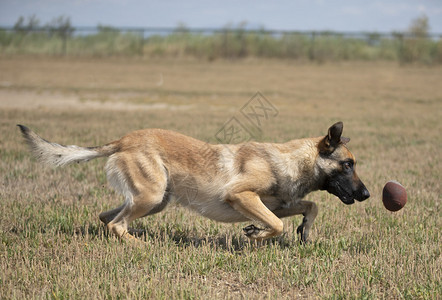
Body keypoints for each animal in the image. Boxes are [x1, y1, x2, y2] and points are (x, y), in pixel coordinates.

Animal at [17, 122, 370, 244]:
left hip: (154, 200)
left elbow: (310, 206)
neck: (290, 160)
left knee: (107, 218)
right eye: (348, 164)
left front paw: (304, 231)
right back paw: (140, 245)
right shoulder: (240, 196)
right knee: (117, 224)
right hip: (151, 196)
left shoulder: (276, 203)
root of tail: (122, 140)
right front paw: (257, 234)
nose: (367, 194)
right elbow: (277, 224)